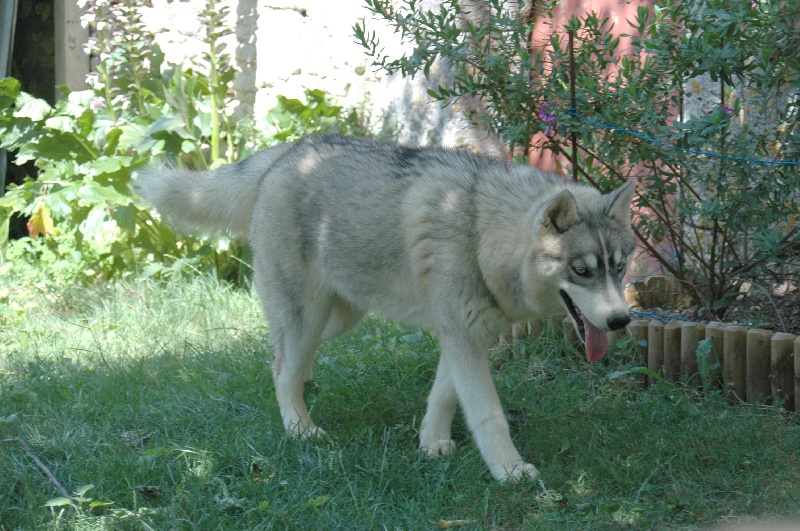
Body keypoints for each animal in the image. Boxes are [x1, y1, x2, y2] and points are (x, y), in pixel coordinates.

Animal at [138, 136, 636, 482]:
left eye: (619, 267)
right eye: (581, 270)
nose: (621, 320)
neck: (481, 231)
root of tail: (286, 153)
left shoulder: (464, 338)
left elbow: (443, 396)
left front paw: (431, 444)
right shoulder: (464, 340)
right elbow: (489, 416)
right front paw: (510, 473)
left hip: (337, 319)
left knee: (281, 361)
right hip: (307, 319)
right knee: (281, 367)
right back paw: (300, 430)